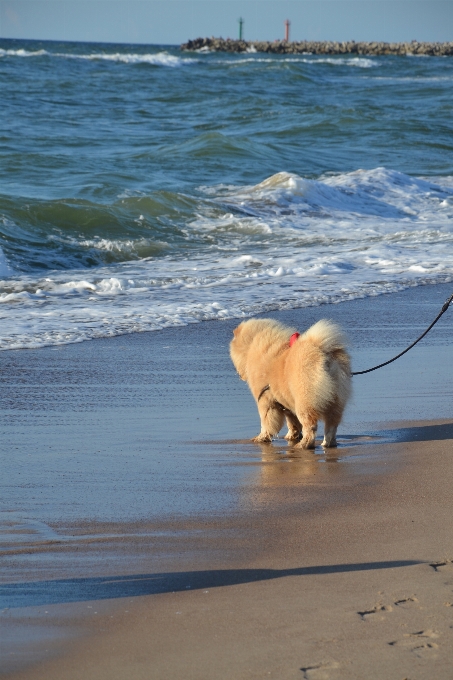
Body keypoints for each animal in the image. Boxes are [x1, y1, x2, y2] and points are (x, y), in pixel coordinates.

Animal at [230, 318, 350, 448]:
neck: (250, 347)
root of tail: (324, 354)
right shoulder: (286, 404)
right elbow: (292, 422)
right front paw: (292, 436)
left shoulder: (265, 400)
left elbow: (266, 421)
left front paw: (261, 437)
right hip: (336, 401)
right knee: (331, 426)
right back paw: (327, 443)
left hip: (305, 400)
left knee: (311, 426)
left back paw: (303, 444)